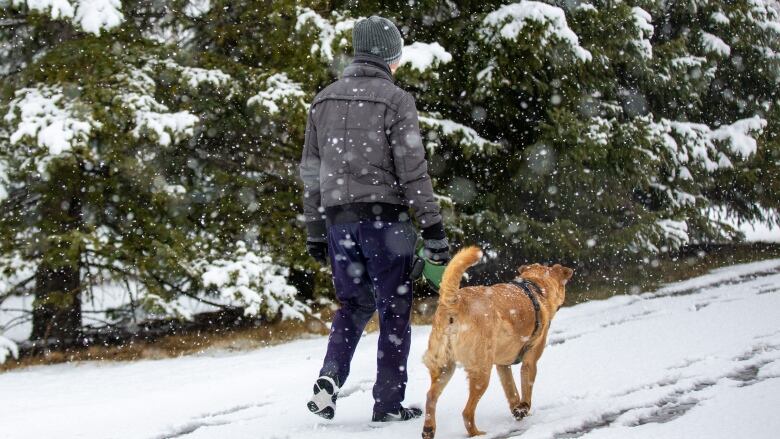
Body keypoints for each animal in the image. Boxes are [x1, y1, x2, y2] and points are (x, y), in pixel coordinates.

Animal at [420, 246, 572, 438]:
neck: (536, 287)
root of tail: (455, 302)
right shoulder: (530, 359)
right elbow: (526, 389)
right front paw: (524, 408)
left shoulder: (502, 365)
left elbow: (511, 391)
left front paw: (517, 410)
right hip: (481, 372)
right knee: (467, 412)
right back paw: (477, 433)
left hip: (445, 367)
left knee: (430, 397)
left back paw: (429, 429)